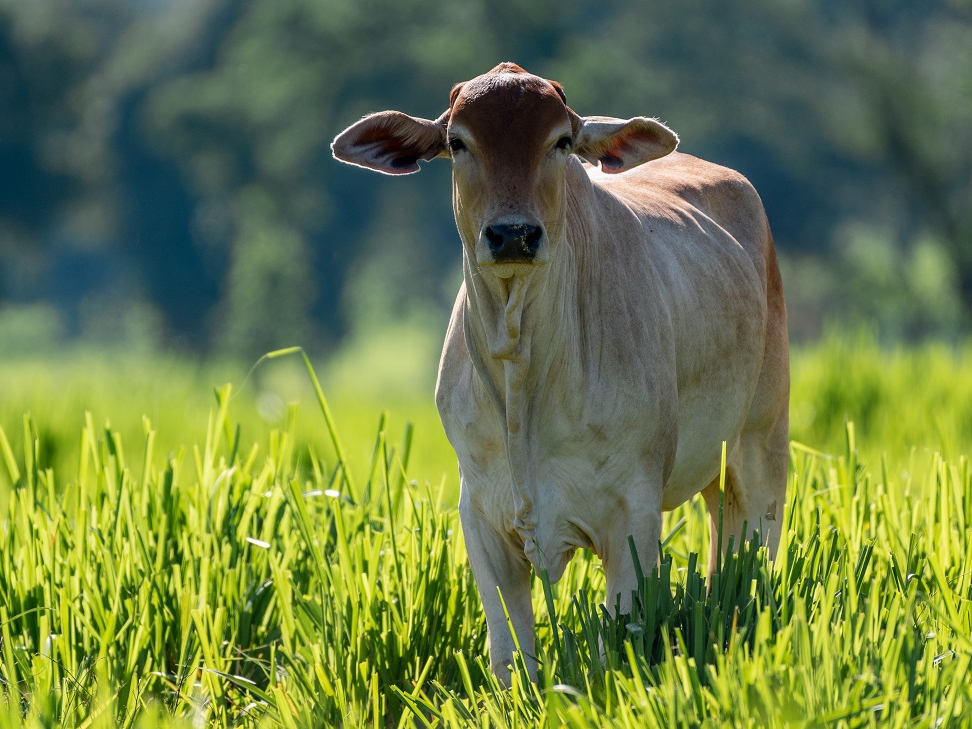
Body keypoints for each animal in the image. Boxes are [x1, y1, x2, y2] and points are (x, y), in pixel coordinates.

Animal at [334, 62, 788, 684]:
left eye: (561, 141)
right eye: (457, 142)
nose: (513, 235)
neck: (521, 369)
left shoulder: (632, 518)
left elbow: (613, 650)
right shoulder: (481, 516)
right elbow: (509, 659)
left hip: (763, 444)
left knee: (754, 551)